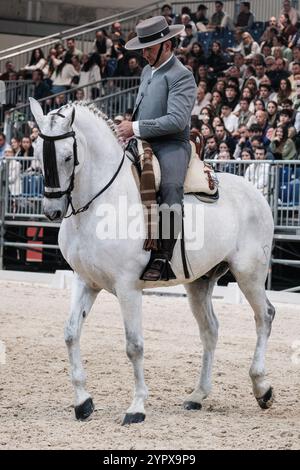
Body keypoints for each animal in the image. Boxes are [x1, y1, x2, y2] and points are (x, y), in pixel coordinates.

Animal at [29, 99, 276, 426]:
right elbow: (71, 333)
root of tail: (255, 194)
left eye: (68, 157)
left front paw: (136, 408)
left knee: (264, 317)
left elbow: (134, 346)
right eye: (36, 153)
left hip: (249, 274)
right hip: (199, 283)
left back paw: (262, 388)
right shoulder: (85, 281)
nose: (53, 210)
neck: (100, 204)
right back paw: (198, 395)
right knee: (210, 330)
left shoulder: (127, 288)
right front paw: (83, 403)